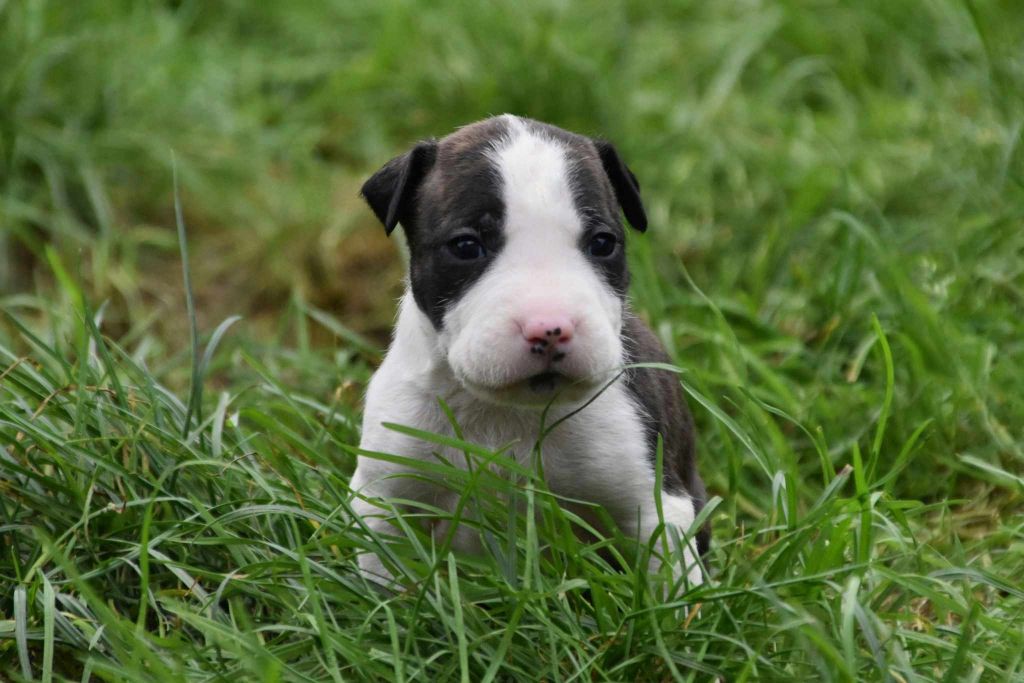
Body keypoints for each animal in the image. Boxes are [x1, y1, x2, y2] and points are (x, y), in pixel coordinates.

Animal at [348, 114, 708, 585]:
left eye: (602, 243)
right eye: (466, 246)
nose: (550, 328)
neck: (508, 411)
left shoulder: (655, 506)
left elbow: (671, 584)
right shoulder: (384, 498)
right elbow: (382, 582)